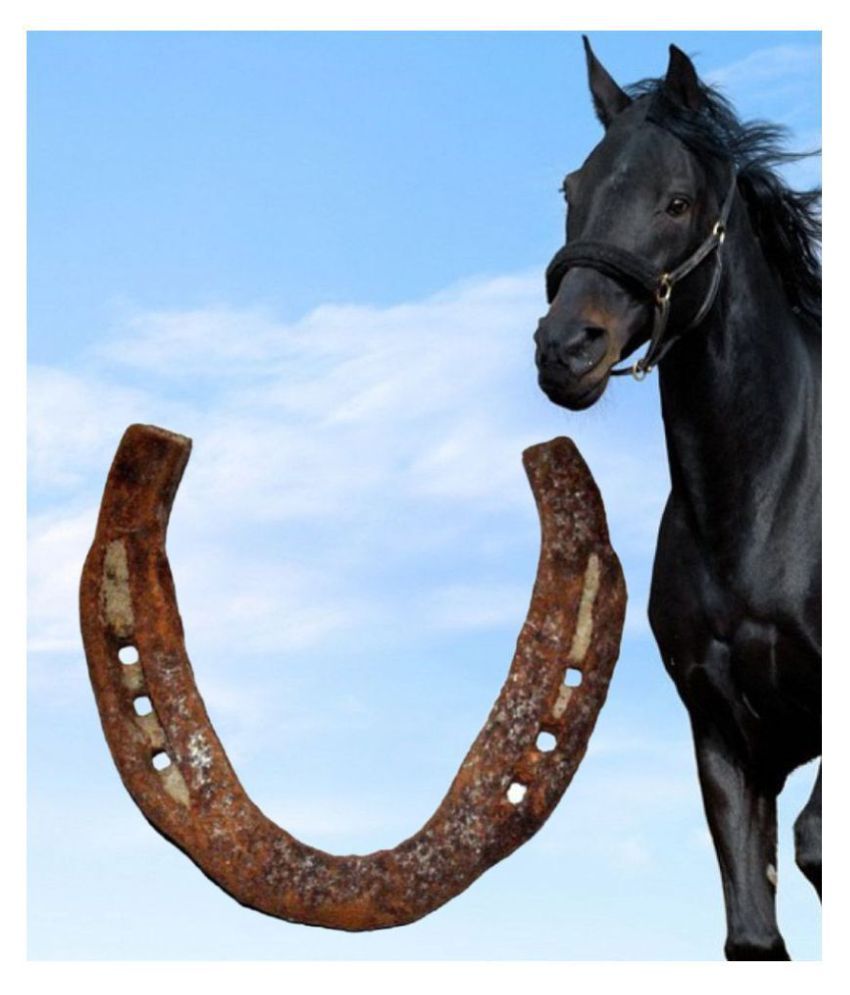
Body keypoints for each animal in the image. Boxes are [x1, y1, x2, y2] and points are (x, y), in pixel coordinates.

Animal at [535, 38, 821, 960]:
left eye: (677, 200)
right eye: (571, 190)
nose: (565, 348)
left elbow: (813, 841)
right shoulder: (725, 739)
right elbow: (752, 931)